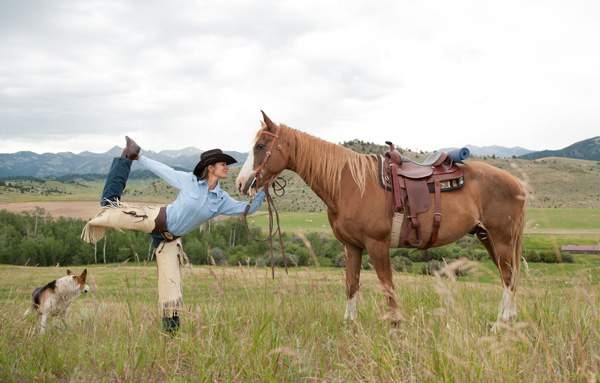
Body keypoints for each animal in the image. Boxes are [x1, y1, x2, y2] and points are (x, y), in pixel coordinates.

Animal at [234, 111, 524, 330]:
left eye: (260, 146)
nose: (240, 183)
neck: (349, 184)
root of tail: (517, 182)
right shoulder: (352, 246)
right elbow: (352, 284)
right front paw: (349, 324)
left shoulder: (377, 244)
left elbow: (387, 286)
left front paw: (395, 326)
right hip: (487, 237)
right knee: (507, 277)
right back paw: (506, 321)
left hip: (501, 238)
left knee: (508, 276)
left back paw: (501, 324)